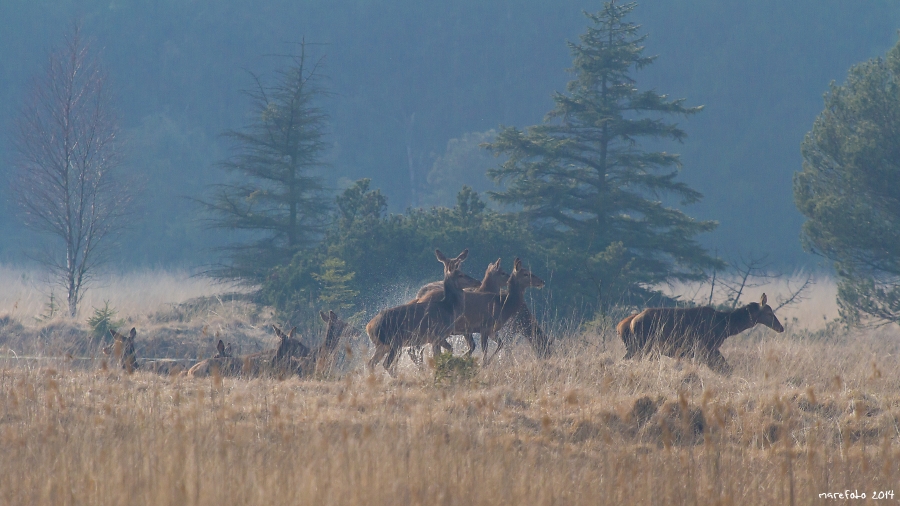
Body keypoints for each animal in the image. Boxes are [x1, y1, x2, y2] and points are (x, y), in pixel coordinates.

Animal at [616, 294, 784, 374]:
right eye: (769, 312)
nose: (780, 328)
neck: (725, 326)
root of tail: (624, 325)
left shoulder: (706, 350)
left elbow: (725, 369)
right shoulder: (705, 348)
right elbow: (724, 369)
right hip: (640, 346)